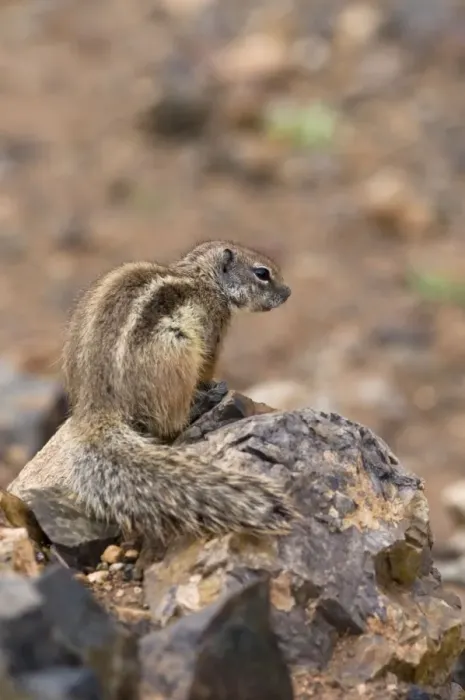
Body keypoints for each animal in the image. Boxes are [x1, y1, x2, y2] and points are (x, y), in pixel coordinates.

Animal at [8, 240, 295, 543]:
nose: (288, 292)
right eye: (262, 273)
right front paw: (212, 386)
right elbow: (207, 365)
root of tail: (96, 405)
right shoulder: (213, 331)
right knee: (169, 422)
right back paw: (203, 404)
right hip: (175, 352)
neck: (202, 277)